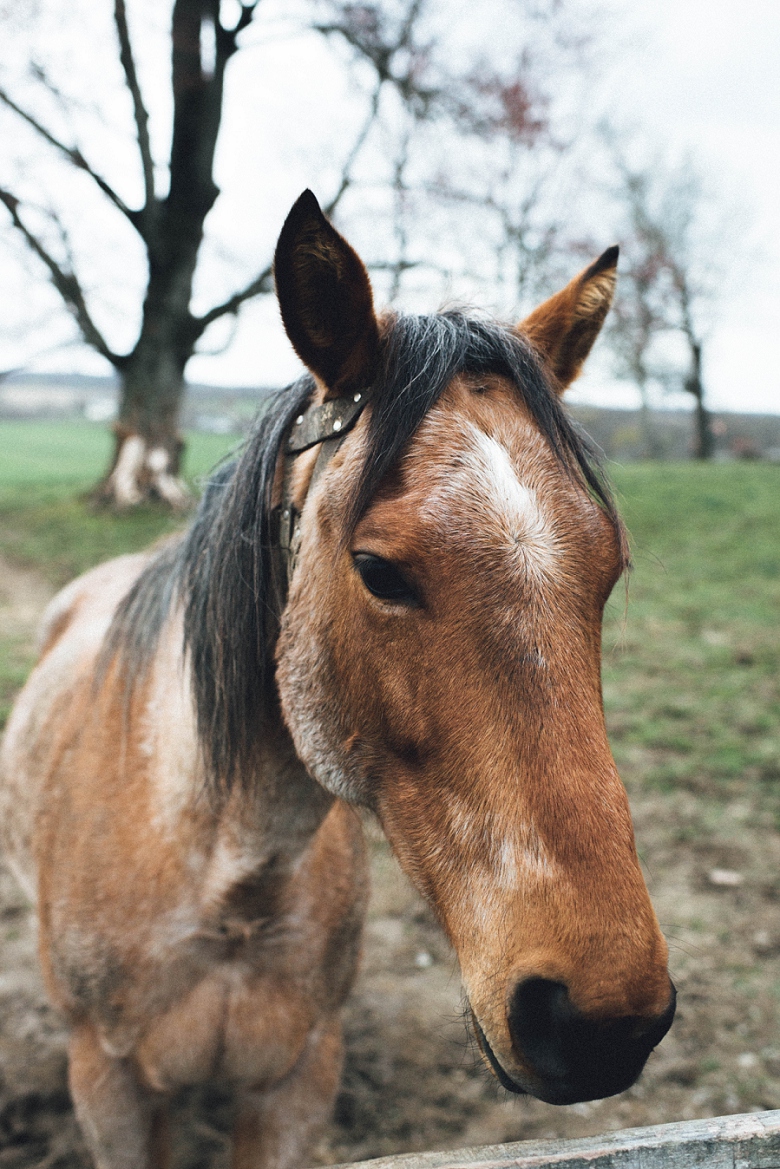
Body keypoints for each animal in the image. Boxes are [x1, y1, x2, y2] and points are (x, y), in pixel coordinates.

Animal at [0, 189, 673, 1169]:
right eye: (377, 569)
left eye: (609, 568)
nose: (603, 1021)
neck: (227, 880)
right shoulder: (111, 1088)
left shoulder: (296, 1083)